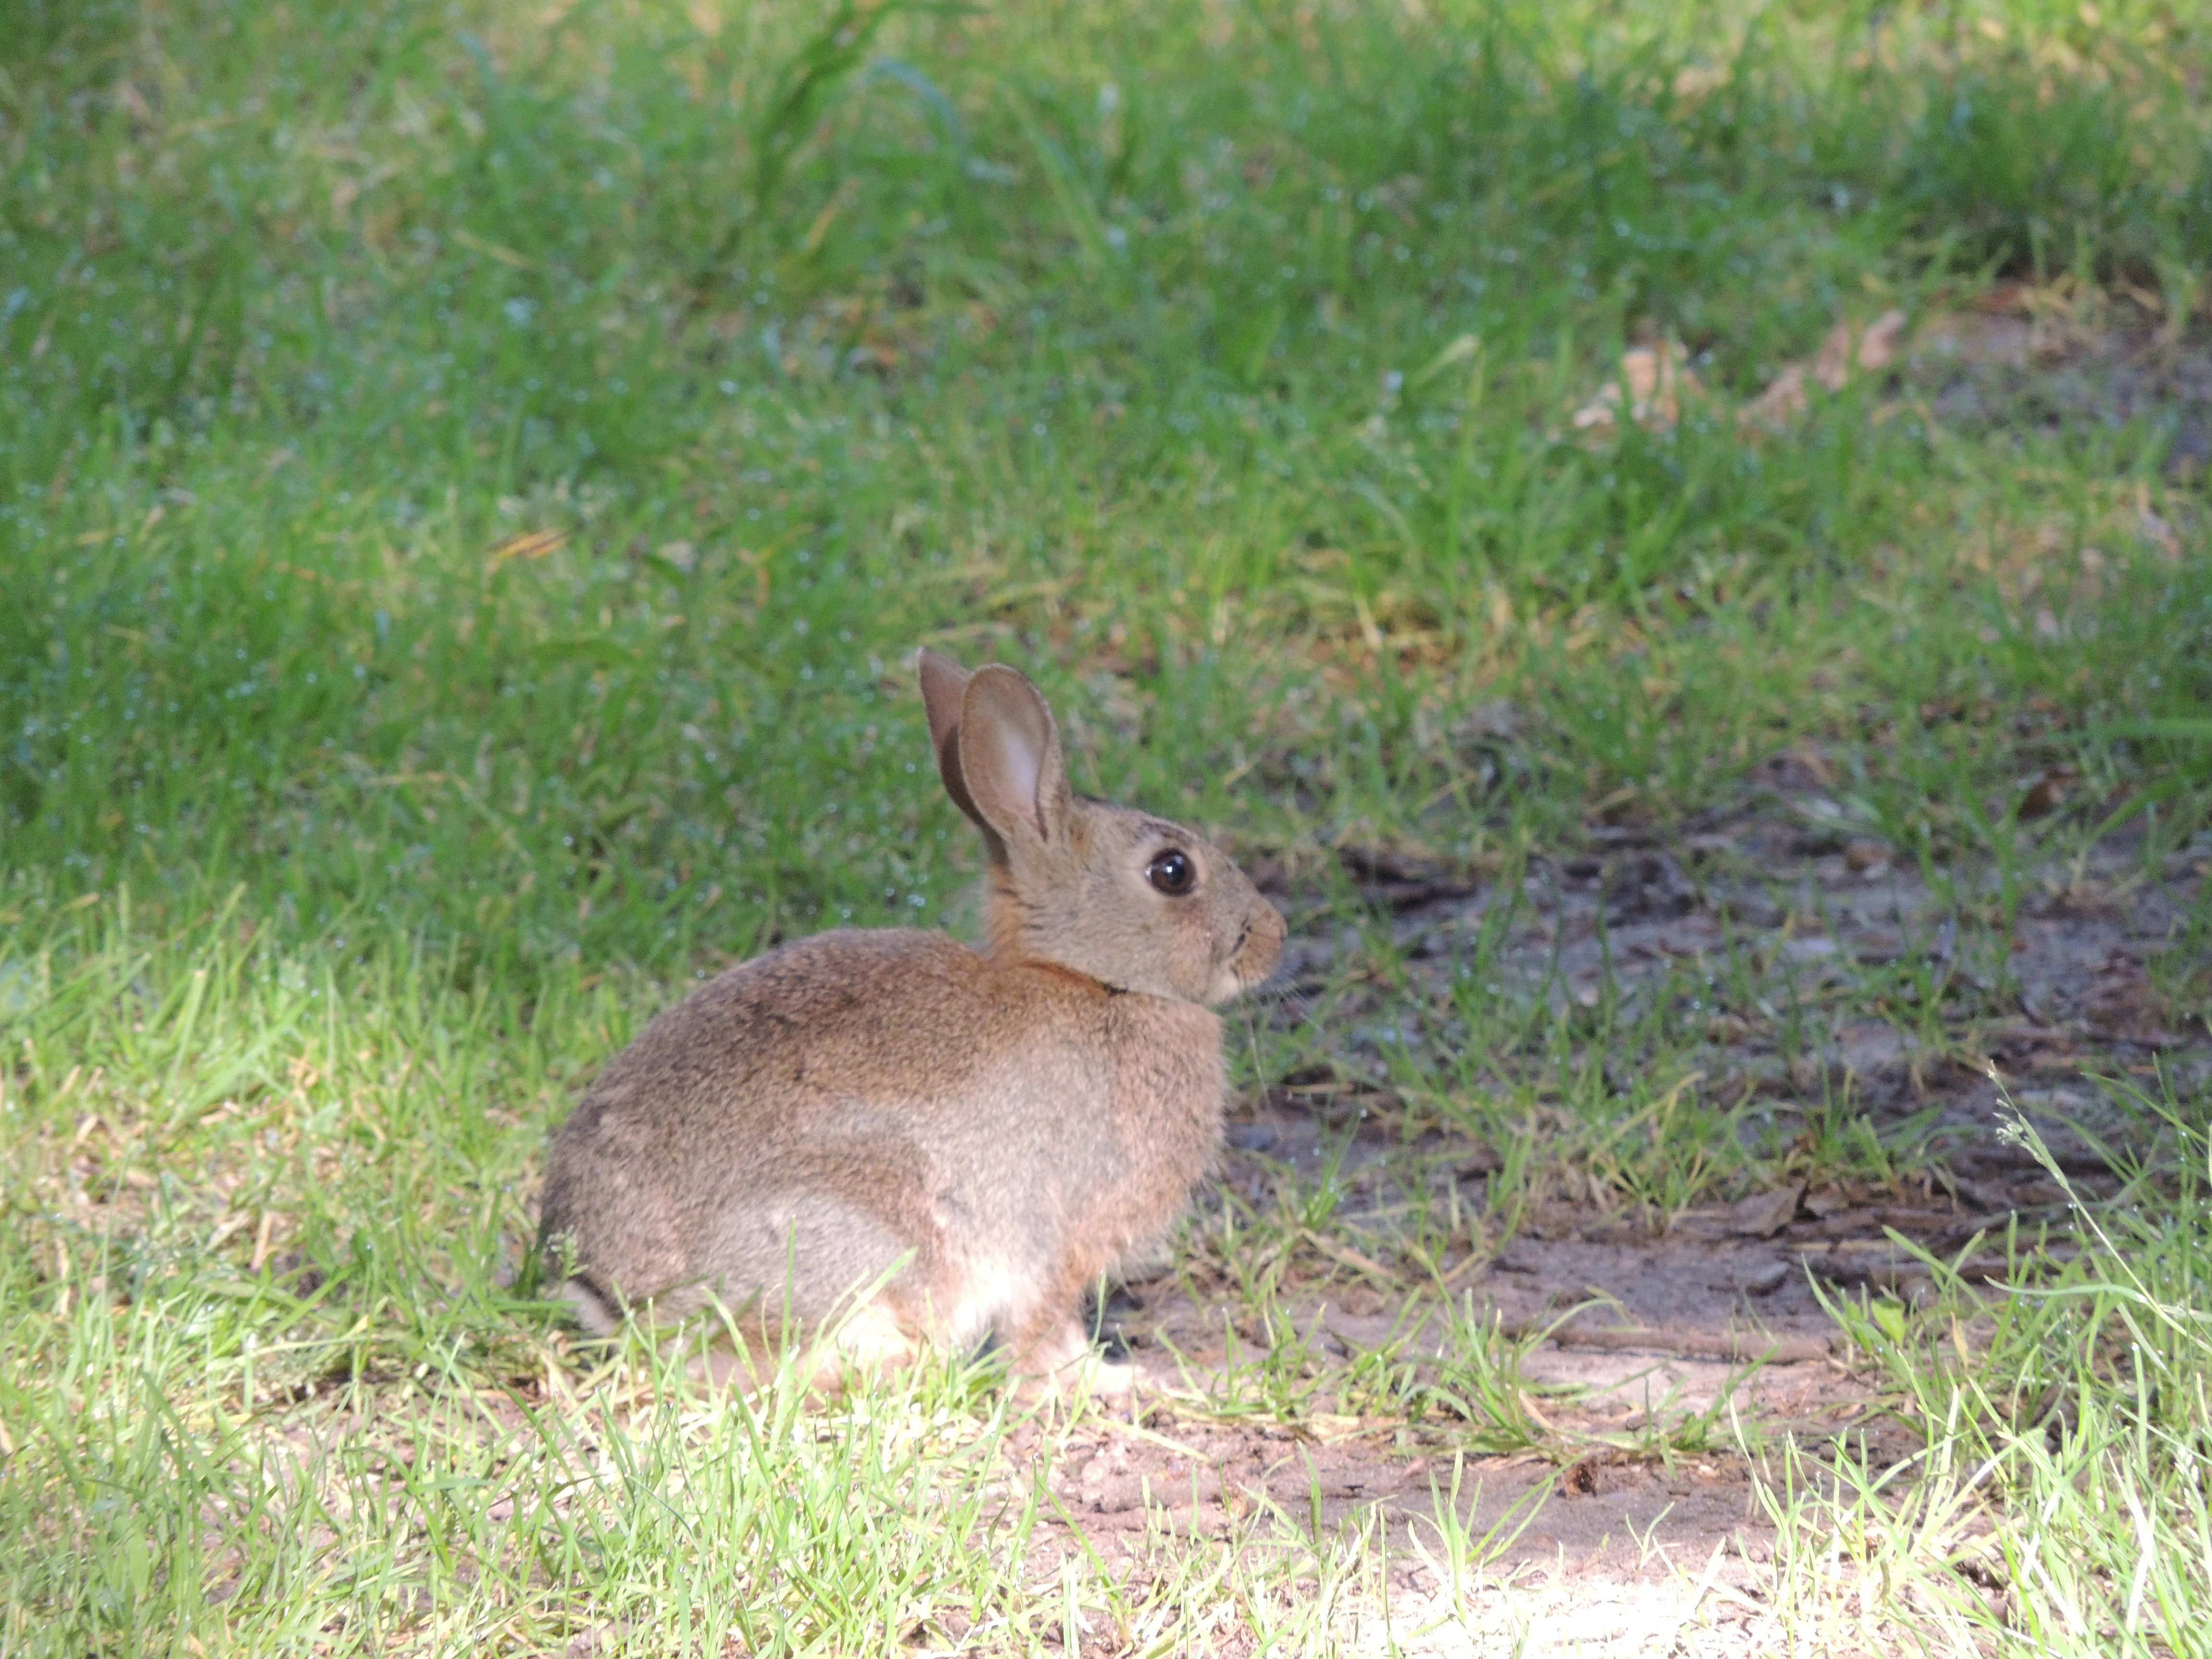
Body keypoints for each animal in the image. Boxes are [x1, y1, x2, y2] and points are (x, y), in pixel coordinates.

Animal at [536, 647, 1285, 1393]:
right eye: (1172, 872)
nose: (1274, 935)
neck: (1098, 982)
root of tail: (605, 1288)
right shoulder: (1058, 1238)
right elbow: (1046, 1333)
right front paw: (1115, 1382)